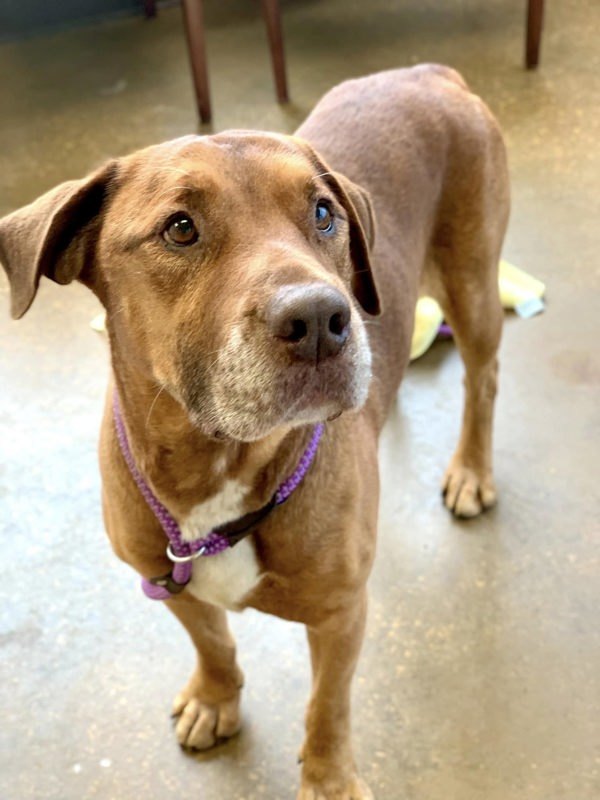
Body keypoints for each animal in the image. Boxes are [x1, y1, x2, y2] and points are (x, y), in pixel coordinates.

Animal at [0, 65, 508, 796]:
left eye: (322, 213)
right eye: (180, 228)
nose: (323, 317)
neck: (219, 469)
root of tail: (425, 71)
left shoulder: (340, 615)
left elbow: (327, 705)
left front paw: (328, 778)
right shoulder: (166, 580)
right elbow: (212, 642)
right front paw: (216, 697)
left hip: (473, 285)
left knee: (483, 380)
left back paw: (471, 469)